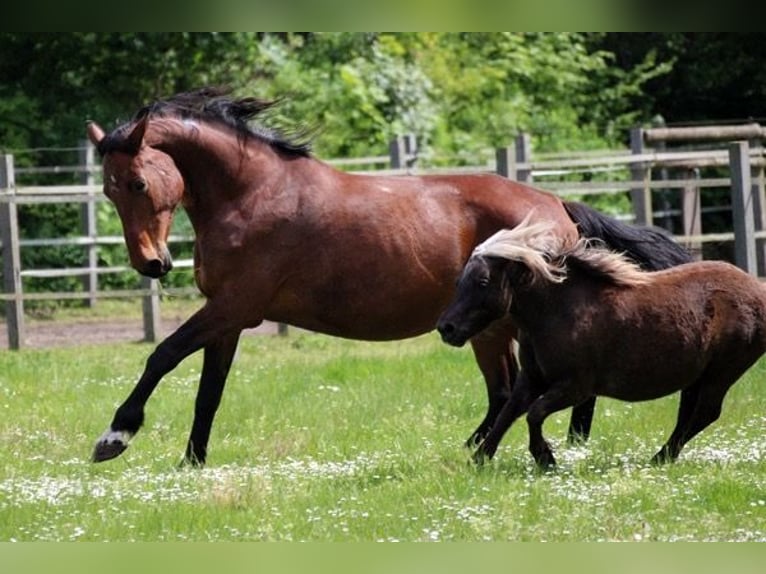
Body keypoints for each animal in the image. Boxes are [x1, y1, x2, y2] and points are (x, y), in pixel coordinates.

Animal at [87, 88, 692, 466]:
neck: (251, 194)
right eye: (108, 192)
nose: (152, 264)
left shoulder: (232, 307)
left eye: (138, 183)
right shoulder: (229, 320)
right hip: (493, 328)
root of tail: (555, 205)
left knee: (521, 389)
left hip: (501, 325)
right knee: (508, 391)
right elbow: (208, 393)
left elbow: (162, 355)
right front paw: (192, 463)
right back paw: (485, 448)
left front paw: (116, 435)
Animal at [438, 218, 766, 470]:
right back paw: (663, 458)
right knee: (690, 413)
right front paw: (478, 460)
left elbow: (534, 413)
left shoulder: (576, 387)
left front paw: (546, 458)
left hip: (722, 372)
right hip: (699, 375)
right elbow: (508, 414)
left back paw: (659, 458)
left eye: (482, 281)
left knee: (705, 412)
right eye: (459, 281)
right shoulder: (531, 379)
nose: (446, 328)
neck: (558, 311)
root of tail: (757, 289)